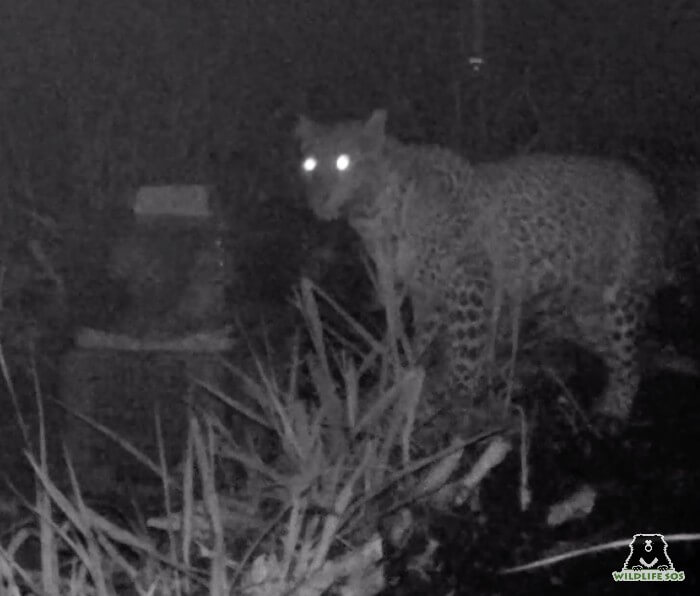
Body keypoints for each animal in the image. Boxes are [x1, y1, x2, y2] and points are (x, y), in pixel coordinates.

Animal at [294, 109, 668, 430]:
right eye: (309, 164)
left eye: (344, 162)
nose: (318, 199)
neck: (374, 215)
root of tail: (647, 186)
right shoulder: (424, 291)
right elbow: (422, 345)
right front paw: (406, 388)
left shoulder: (468, 279)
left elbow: (464, 350)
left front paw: (453, 401)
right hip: (586, 311)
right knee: (622, 358)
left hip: (622, 295)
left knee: (629, 361)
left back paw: (613, 411)